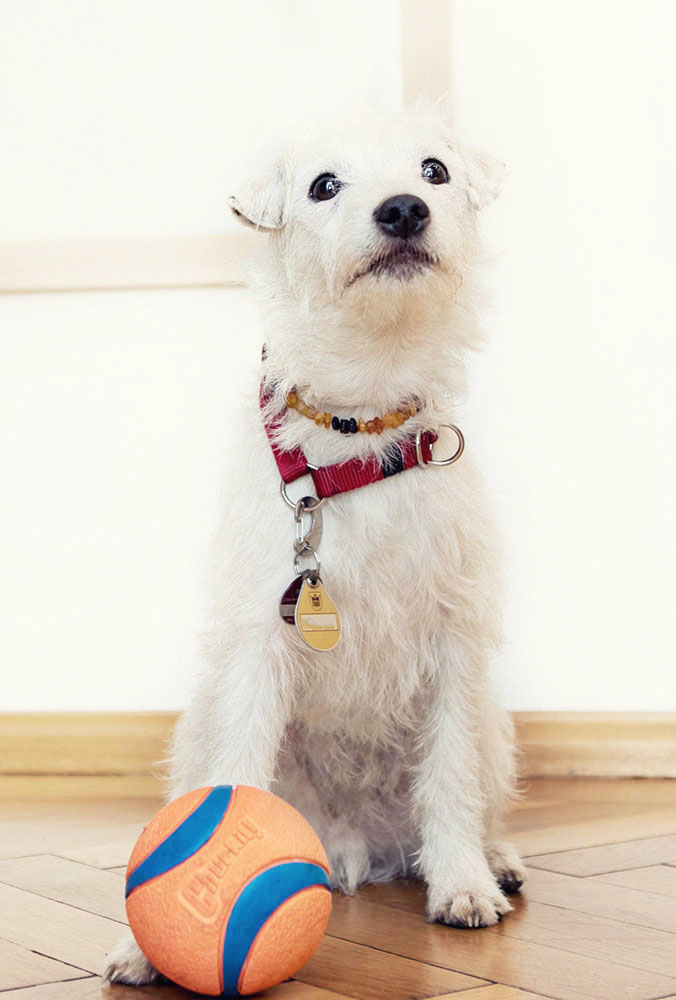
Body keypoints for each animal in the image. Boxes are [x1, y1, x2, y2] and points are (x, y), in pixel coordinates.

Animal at [104, 101, 524, 984]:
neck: (362, 428)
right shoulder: (258, 650)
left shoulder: (454, 642)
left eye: (434, 170)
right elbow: (234, 776)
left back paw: (489, 858)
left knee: (474, 791)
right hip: (199, 716)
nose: (403, 210)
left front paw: (463, 884)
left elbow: (450, 775)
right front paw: (157, 933)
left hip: (494, 722)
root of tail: (361, 848)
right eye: (324, 185)